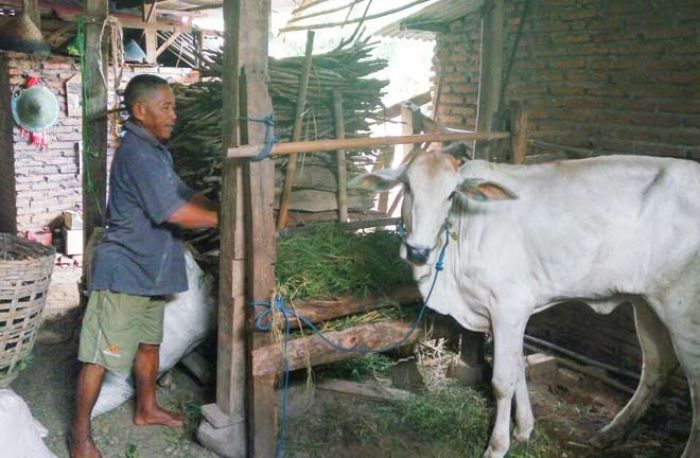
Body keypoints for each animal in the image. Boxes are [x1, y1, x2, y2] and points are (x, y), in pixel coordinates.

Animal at [356, 147, 700, 458]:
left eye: (451, 194)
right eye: (407, 187)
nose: (418, 251)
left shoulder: (509, 305)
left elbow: (502, 380)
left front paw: (497, 446)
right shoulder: (510, 312)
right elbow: (518, 365)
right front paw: (524, 428)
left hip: (684, 313)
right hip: (647, 303)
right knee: (656, 366)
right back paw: (609, 432)